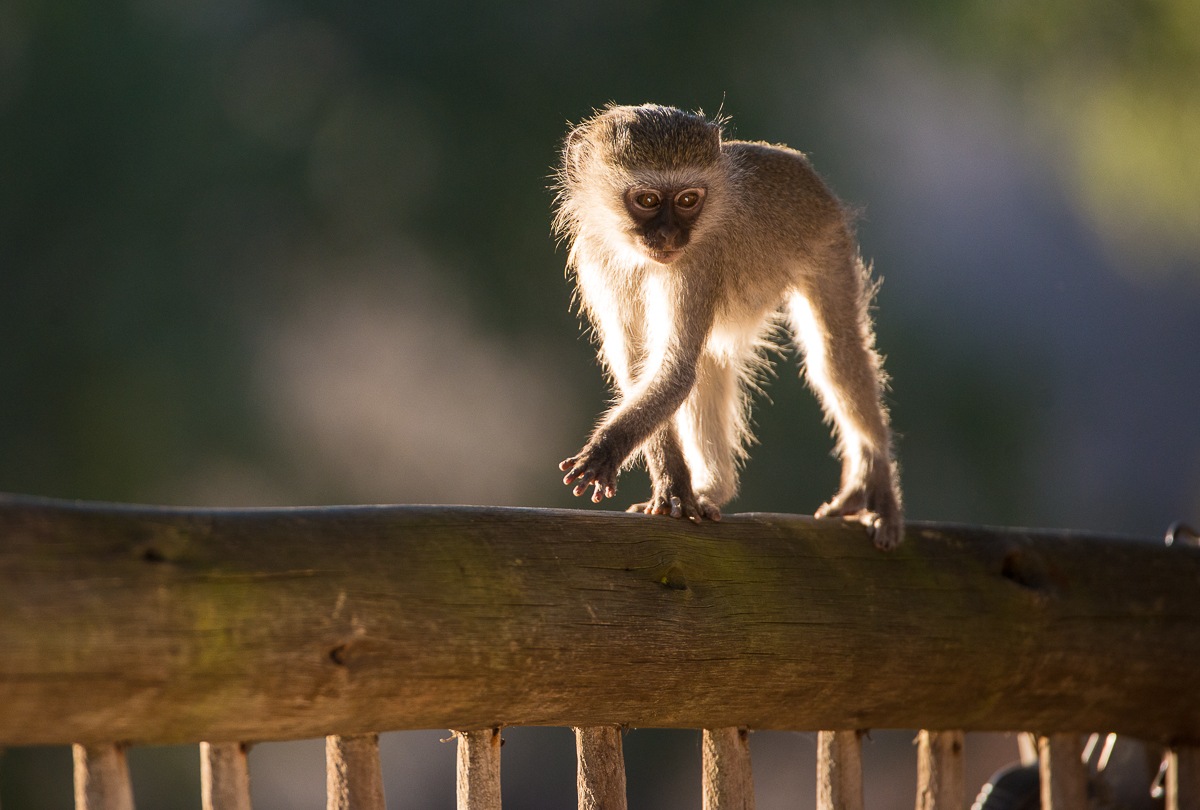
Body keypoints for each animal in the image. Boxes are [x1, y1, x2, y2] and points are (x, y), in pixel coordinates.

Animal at [552, 103, 903, 550]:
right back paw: (711, 490)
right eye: (648, 200)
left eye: (688, 200)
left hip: (829, 242)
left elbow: (676, 370)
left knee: (834, 358)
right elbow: (638, 365)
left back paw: (873, 481)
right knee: (711, 368)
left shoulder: (698, 263)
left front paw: (608, 449)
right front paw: (672, 485)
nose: (670, 236)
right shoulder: (595, 258)